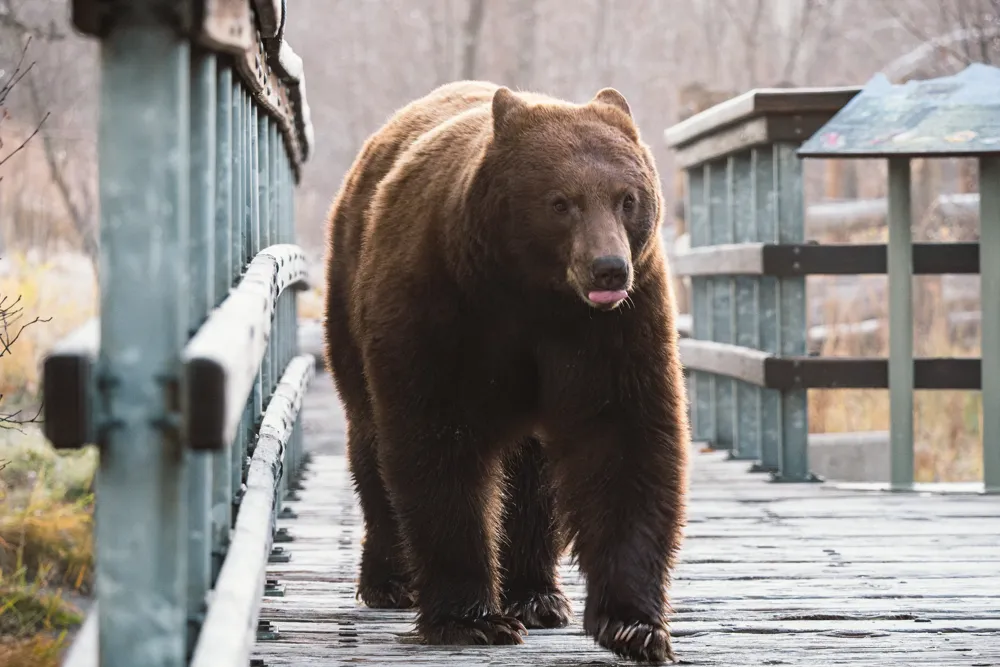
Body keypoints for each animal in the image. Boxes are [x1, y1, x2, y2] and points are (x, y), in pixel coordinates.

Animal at [322, 80, 689, 664]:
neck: (533, 295)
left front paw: (635, 625)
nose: (609, 268)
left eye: (627, 198)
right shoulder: (444, 309)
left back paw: (536, 595)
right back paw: (390, 581)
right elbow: (438, 447)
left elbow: (624, 441)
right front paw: (471, 618)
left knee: (533, 478)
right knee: (371, 442)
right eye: (561, 202)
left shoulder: (617, 330)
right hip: (348, 297)